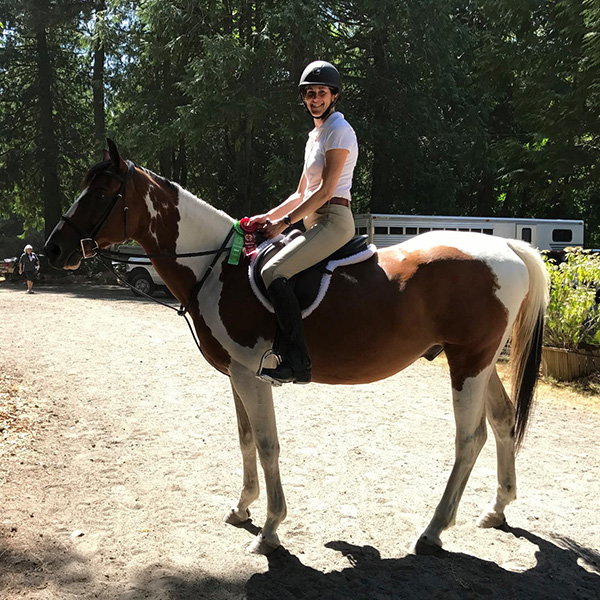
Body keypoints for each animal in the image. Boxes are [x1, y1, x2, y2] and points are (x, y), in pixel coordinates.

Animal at [45, 143, 548, 556]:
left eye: (100, 193)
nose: (53, 249)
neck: (218, 269)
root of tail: (507, 246)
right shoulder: (236, 374)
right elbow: (246, 439)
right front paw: (242, 508)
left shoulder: (250, 373)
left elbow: (268, 444)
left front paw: (270, 530)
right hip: (481, 361)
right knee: (502, 421)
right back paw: (497, 509)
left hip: (467, 362)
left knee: (469, 438)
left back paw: (433, 531)